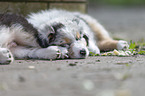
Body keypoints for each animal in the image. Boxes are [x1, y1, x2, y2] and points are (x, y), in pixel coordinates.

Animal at [0, 9, 128, 64]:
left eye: (78, 38)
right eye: (65, 43)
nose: (83, 52)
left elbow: (91, 43)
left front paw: (92, 49)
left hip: (93, 23)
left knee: (103, 38)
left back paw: (122, 44)